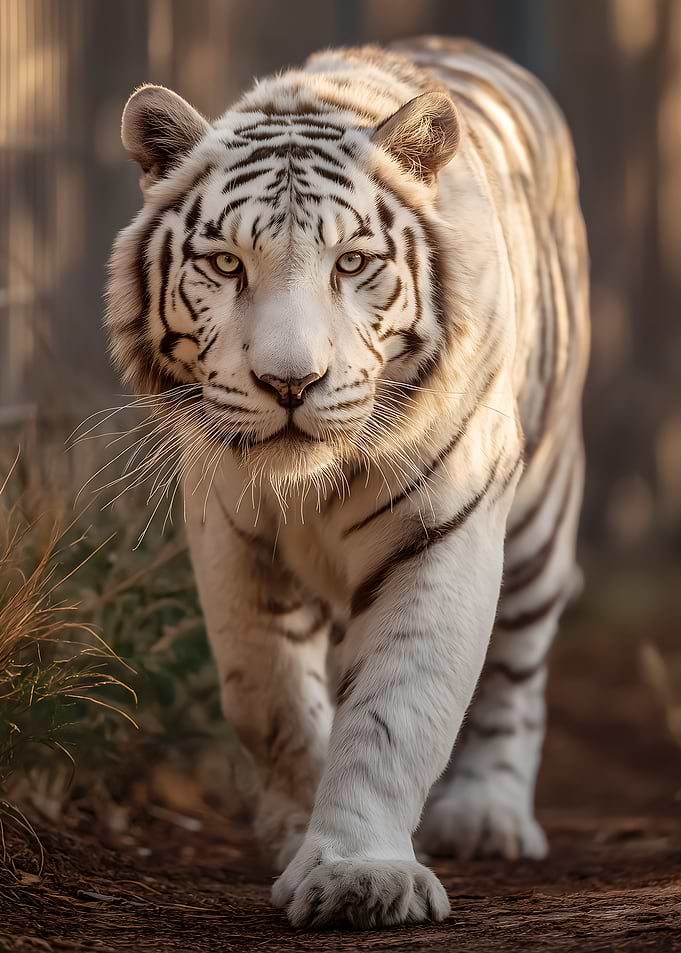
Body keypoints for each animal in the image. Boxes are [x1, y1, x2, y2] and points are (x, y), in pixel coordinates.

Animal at [105, 36, 589, 930]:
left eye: (353, 263)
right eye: (225, 263)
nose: (289, 382)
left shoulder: (444, 531)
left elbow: (393, 713)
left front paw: (358, 874)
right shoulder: (230, 536)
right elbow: (271, 704)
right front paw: (297, 832)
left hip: (541, 514)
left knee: (516, 672)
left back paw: (489, 815)